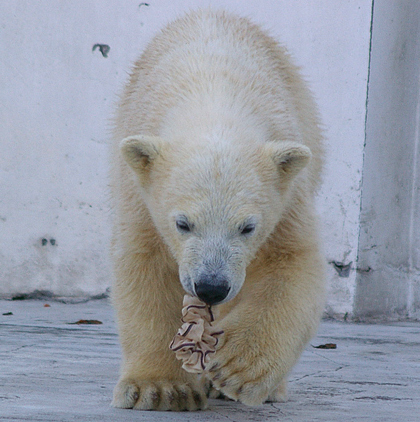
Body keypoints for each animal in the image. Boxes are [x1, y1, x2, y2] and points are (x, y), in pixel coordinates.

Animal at [110, 9, 326, 412]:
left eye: (247, 227)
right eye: (182, 223)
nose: (211, 287)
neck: (213, 94)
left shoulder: (287, 196)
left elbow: (290, 263)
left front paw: (235, 367)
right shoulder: (141, 192)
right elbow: (147, 264)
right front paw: (160, 389)